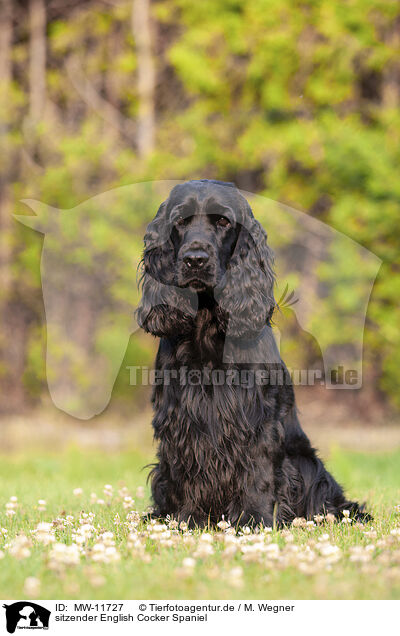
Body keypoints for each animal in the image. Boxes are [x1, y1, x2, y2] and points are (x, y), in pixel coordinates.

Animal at [137, 180, 368, 528]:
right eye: (179, 221)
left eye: (223, 221)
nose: (195, 259)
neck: (207, 321)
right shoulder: (181, 416)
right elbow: (187, 467)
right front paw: (188, 520)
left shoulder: (258, 416)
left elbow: (259, 471)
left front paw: (255, 520)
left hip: (307, 463)